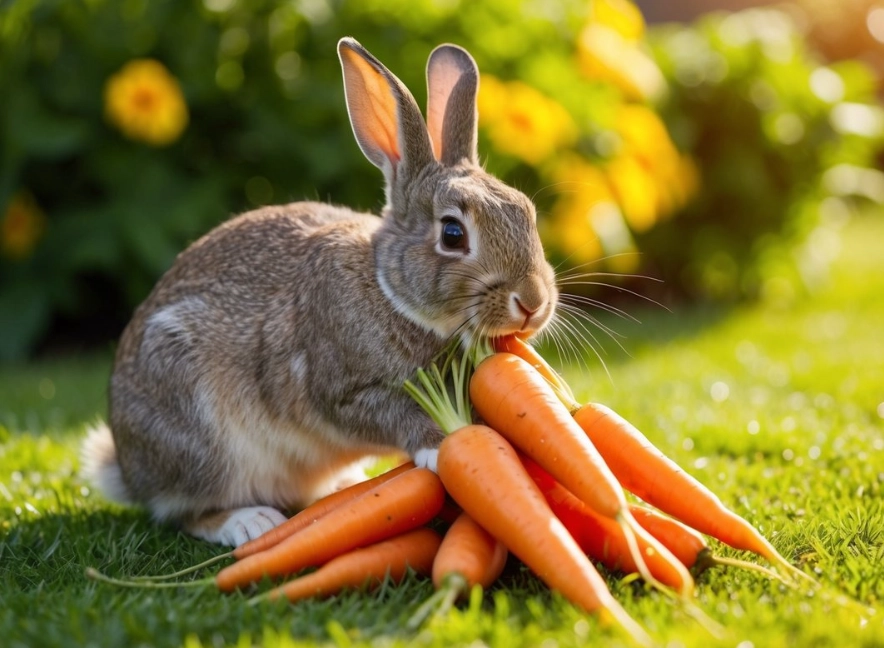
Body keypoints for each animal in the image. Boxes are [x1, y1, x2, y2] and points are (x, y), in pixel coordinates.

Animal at [80, 37, 558, 547]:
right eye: (452, 234)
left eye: (527, 212)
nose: (532, 303)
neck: (389, 290)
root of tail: (127, 468)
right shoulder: (339, 389)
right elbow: (390, 414)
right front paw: (439, 445)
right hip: (198, 428)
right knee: (185, 510)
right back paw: (250, 522)